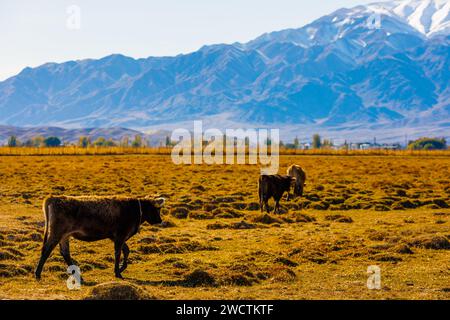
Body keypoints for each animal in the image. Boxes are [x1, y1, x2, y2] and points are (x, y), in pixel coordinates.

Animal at [34, 194, 165, 278]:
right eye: (156, 208)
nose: (160, 220)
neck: (136, 209)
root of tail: (54, 198)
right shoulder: (120, 235)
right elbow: (118, 253)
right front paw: (118, 272)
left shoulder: (115, 237)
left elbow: (126, 250)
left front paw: (121, 268)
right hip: (57, 233)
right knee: (47, 249)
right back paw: (37, 273)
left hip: (65, 235)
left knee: (65, 252)